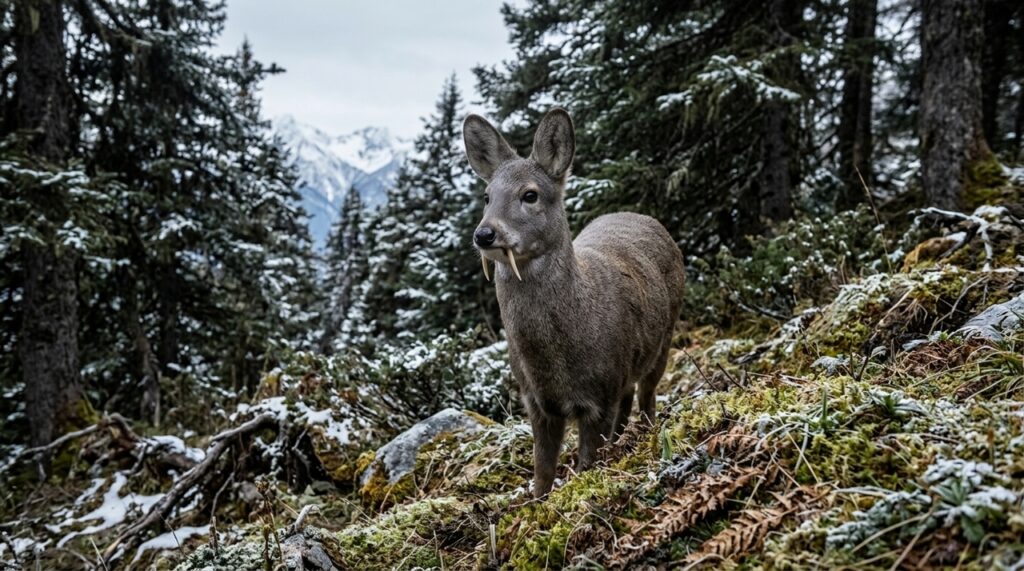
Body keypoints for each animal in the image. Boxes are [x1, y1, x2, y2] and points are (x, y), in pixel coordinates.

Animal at [462, 108, 685, 497]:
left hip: (665, 338)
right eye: (487, 196)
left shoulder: (600, 395)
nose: (485, 234)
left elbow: (586, 464)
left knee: (647, 395)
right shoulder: (535, 401)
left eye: (530, 194)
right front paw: (537, 502)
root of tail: (642, 217)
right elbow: (542, 473)